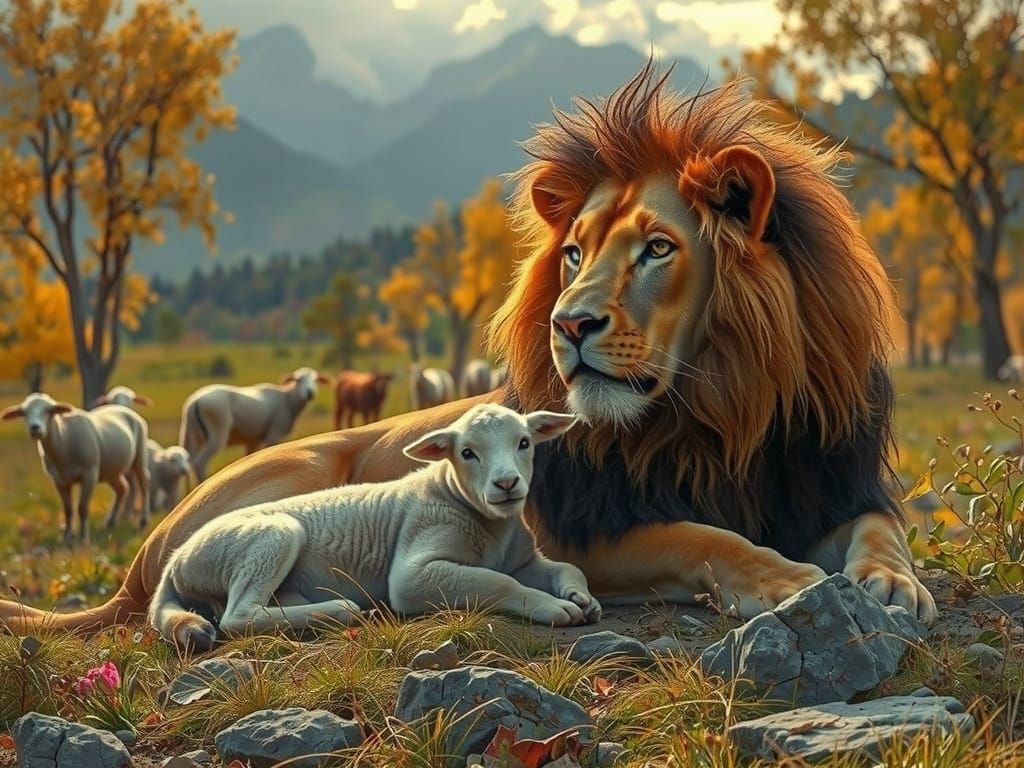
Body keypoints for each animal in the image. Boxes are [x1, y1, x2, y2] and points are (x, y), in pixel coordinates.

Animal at [1, 393, 150, 542]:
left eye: (48, 410)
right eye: (24, 412)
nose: (35, 428)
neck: (63, 440)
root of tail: (122, 408)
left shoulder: (90, 473)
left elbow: (82, 508)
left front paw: (83, 538)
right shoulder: (59, 480)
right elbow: (68, 509)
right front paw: (67, 536)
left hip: (139, 456)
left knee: (143, 484)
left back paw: (143, 521)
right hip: (112, 470)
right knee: (122, 488)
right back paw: (110, 522)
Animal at [149, 403, 600, 649]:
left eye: (524, 443)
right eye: (467, 453)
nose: (506, 484)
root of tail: (174, 562)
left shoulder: (524, 560)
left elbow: (565, 567)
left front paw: (581, 598)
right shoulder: (414, 571)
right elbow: (497, 582)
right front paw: (553, 608)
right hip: (270, 537)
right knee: (237, 616)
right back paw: (343, 610)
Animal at [179, 366, 329, 482]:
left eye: (315, 380)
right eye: (298, 380)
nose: (310, 393)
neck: (288, 400)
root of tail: (196, 400)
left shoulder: (253, 440)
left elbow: (249, 459)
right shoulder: (273, 434)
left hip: (191, 434)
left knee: (189, 461)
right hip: (217, 430)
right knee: (200, 463)